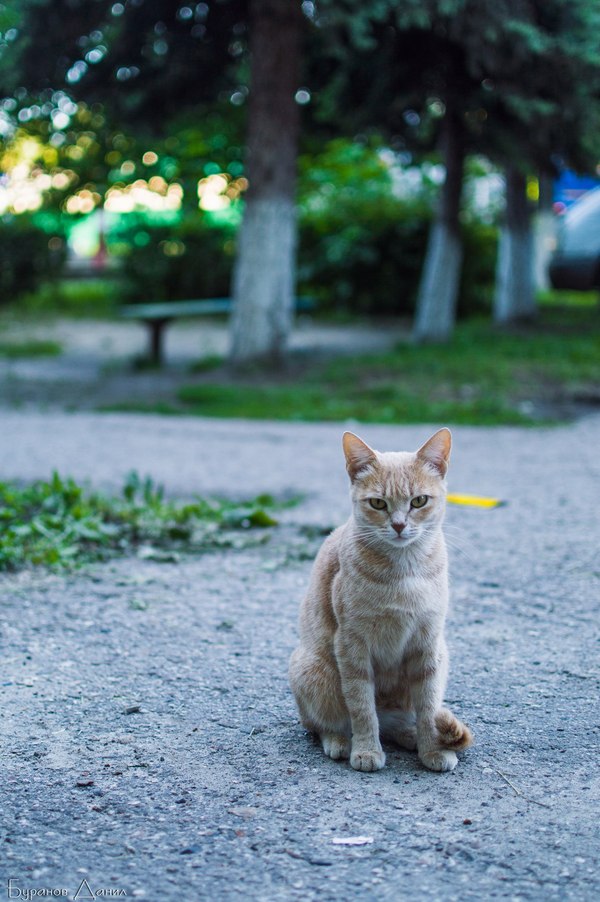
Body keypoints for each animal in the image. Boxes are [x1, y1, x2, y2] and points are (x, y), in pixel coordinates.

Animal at [288, 430, 472, 776]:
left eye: (418, 501)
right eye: (378, 503)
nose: (399, 525)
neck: (405, 572)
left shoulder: (428, 643)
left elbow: (428, 708)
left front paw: (431, 750)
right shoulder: (352, 644)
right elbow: (361, 708)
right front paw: (366, 750)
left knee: (398, 724)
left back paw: (412, 736)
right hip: (312, 671)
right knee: (323, 724)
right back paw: (340, 742)